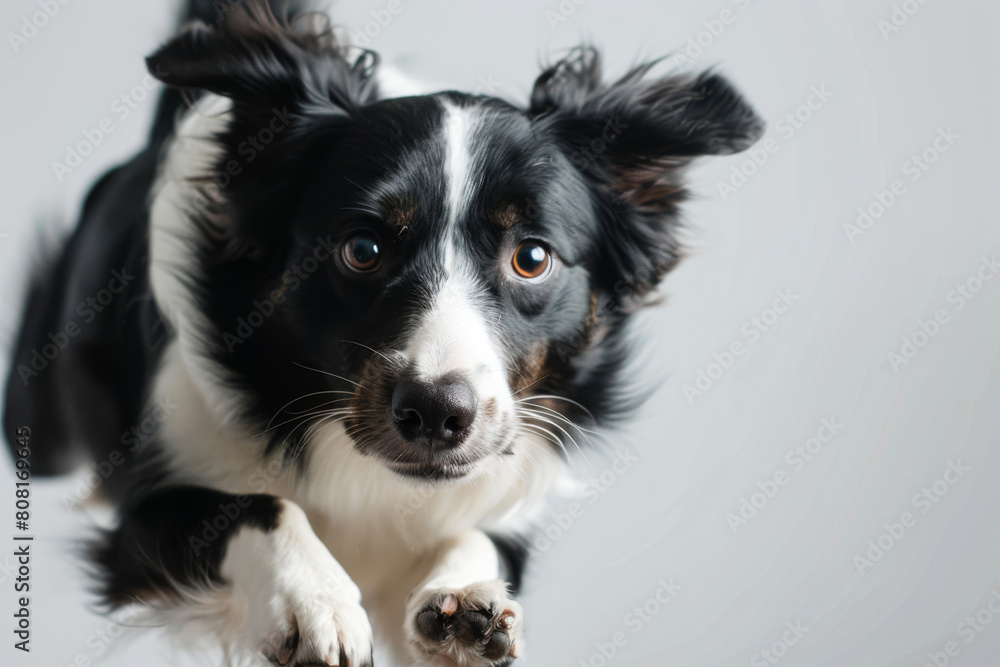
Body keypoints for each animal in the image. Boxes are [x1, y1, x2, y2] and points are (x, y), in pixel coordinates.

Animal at [3, 1, 760, 664]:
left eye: (532, 257)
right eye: (362, 249)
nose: (436, 413)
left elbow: (476, 534)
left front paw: (465, 595)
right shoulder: (142, 514)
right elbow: (260, 505)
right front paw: (314, 597)